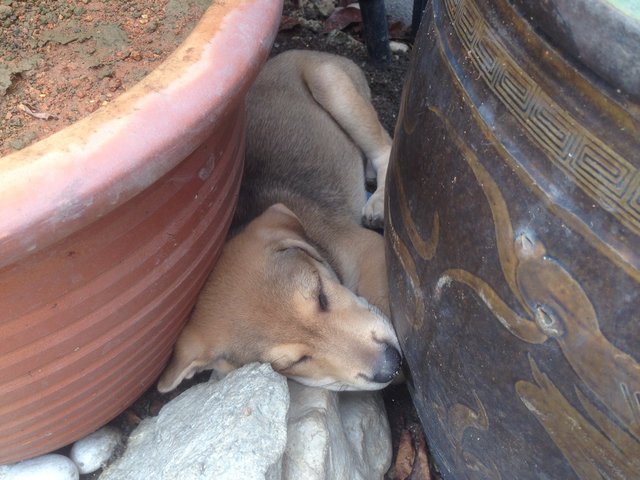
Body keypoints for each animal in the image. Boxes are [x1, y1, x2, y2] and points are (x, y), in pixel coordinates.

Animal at [157, 50, 400, 392]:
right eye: (292, 363)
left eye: (321, 296)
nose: (391, 367)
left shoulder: (369, 249)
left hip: (331, 83)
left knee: (384, 147)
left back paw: (377, 200)